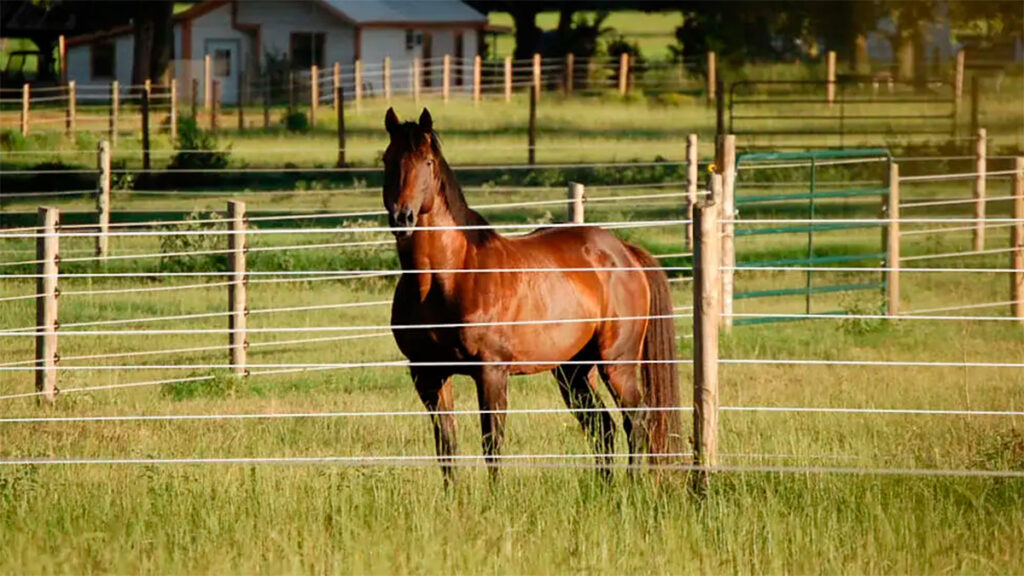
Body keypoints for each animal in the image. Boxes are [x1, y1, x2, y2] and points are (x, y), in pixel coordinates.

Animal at [380, 107, 684, 479]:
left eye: (427, 161)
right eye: (388, 159)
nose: (402, 217)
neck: (448, 277)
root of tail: (624, 251)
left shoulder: (491, 372)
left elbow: (493, 446)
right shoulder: (427, 374)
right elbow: (447, 448)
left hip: (617, 363)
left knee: (635, 421)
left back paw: (632, 483)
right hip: (573, 371)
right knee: (602, 427)